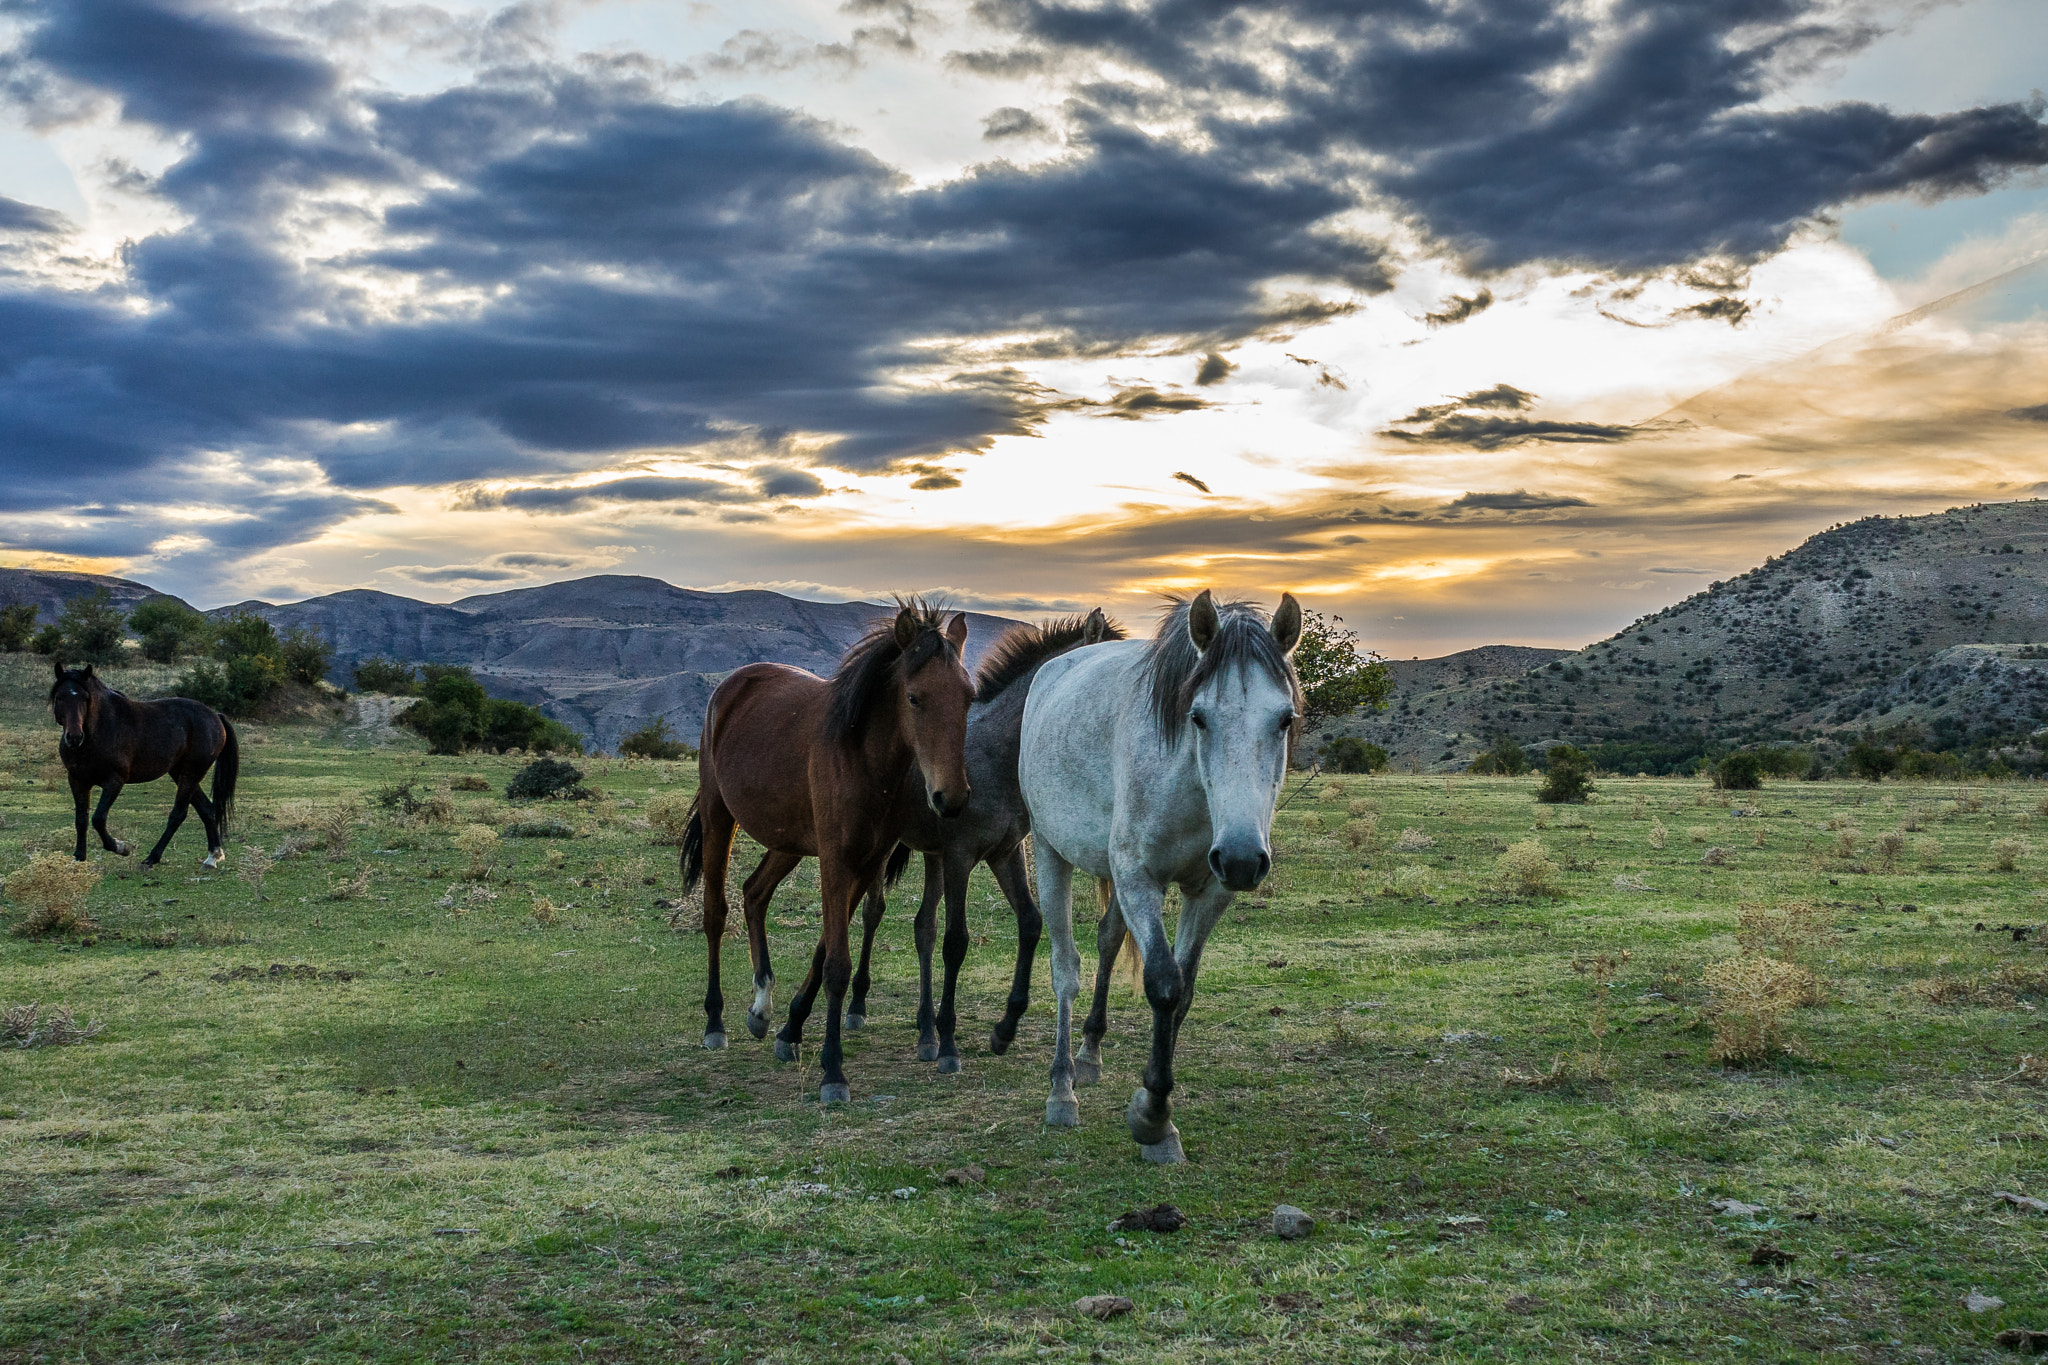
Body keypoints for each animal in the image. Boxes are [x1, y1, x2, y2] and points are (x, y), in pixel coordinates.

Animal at [49, 663, 239, 875]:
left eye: (85, 698)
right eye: (60, 697)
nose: (74, 737)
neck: (100, 730)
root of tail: (215, 717)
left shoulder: (114, 781)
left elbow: (98, 819)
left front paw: (121, 847)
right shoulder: (77, 780)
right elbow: (81, 819)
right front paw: (79, 859)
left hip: (191, 774)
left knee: (178, 815)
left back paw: (152, 858)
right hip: (181, 773)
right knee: (206, 809)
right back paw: (212, 857)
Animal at [679, 601, 974, 1105]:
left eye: (969, 696)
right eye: (915, 698)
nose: (950, 798)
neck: (861, 755)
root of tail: (732, 685)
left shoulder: (866, 861)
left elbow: (824, 951)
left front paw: (791, 1030)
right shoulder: (836, 860)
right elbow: (836, 964)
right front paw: (833, 1071)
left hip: (789, 841)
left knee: (754, 894)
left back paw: (761, 1007)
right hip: (721, 819)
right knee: (715, 913)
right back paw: (715, 1022)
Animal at [1019, 589, 1302, 1162]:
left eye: (1284, 719)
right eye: (1198, 717)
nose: (1242, 858)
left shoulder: (1210, 891)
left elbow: (1184, 992)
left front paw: (1157, 1111)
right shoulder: (1138, 879)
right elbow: (1164, 985)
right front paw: (1152, 1118)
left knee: (1107, 941)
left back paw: (1089, 1055)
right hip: (1051, 852)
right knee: (1065, 967)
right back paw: (1062, 1088)